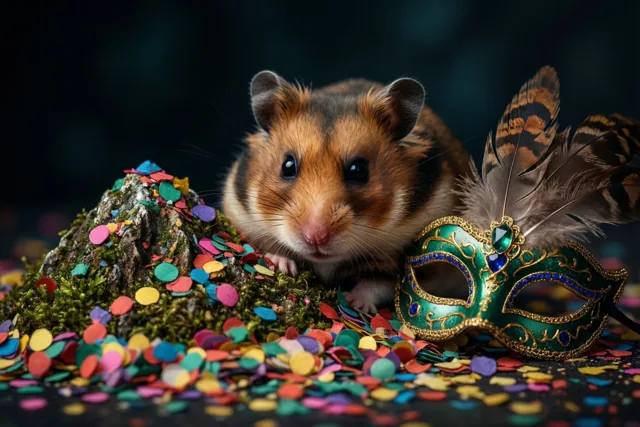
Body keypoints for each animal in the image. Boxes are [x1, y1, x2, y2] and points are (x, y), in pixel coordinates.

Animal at [223, 70, 471, 313]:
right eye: (287, 166)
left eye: (359, 170)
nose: (315, 238)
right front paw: (283, 265)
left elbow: (382, 283)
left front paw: (354, 302)